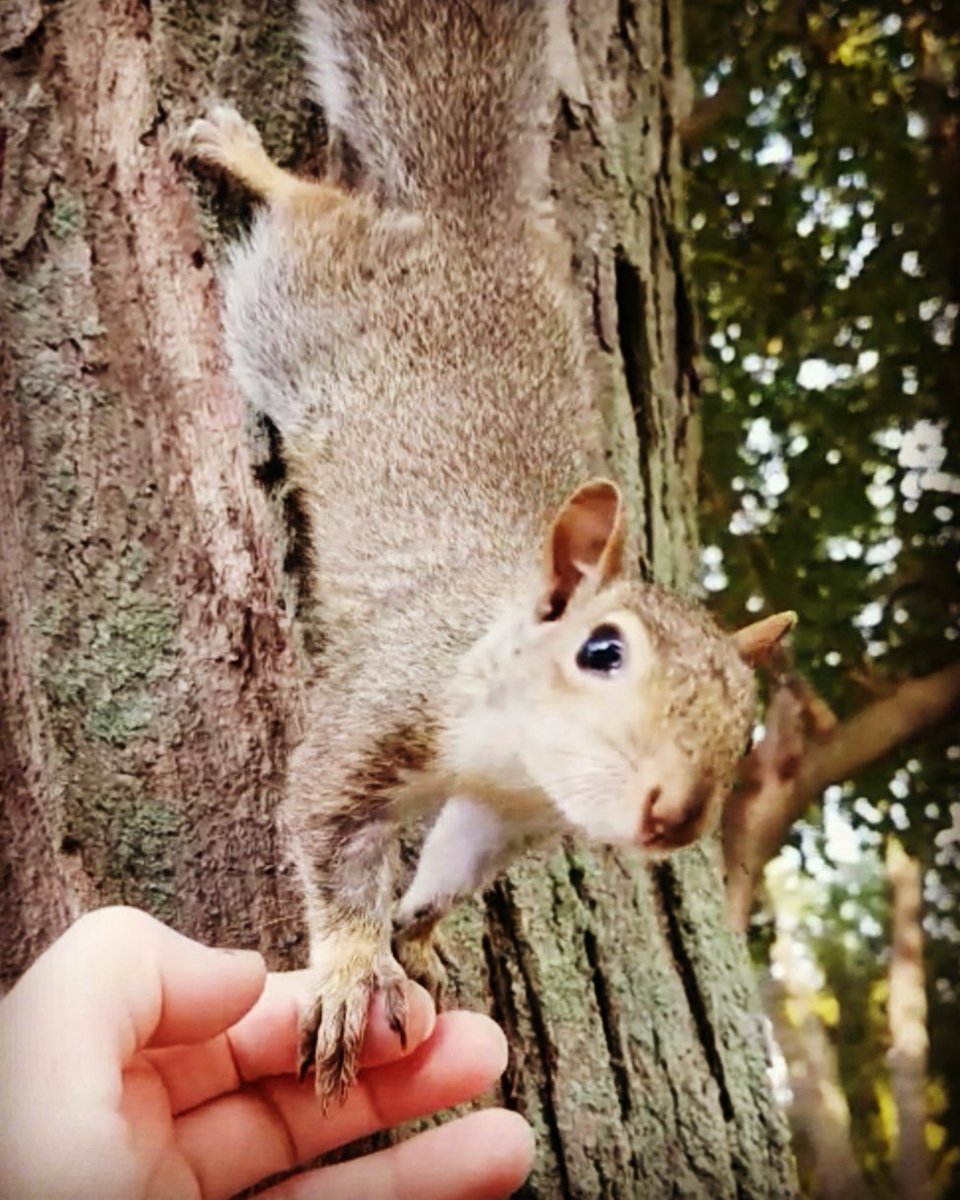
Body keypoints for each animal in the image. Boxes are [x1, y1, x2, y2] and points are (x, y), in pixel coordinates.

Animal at [186, 0, 795, 1106]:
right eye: (600, 651)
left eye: (746, 726)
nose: (675, 816)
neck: (508, 747)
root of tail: (464, 222)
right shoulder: (380, 704)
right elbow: (326, 832)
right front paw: (349, 969)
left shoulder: (504, 815)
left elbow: (454, 870)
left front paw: (419, 931)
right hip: (301, 299)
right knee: (310, 209)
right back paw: (242, 154)